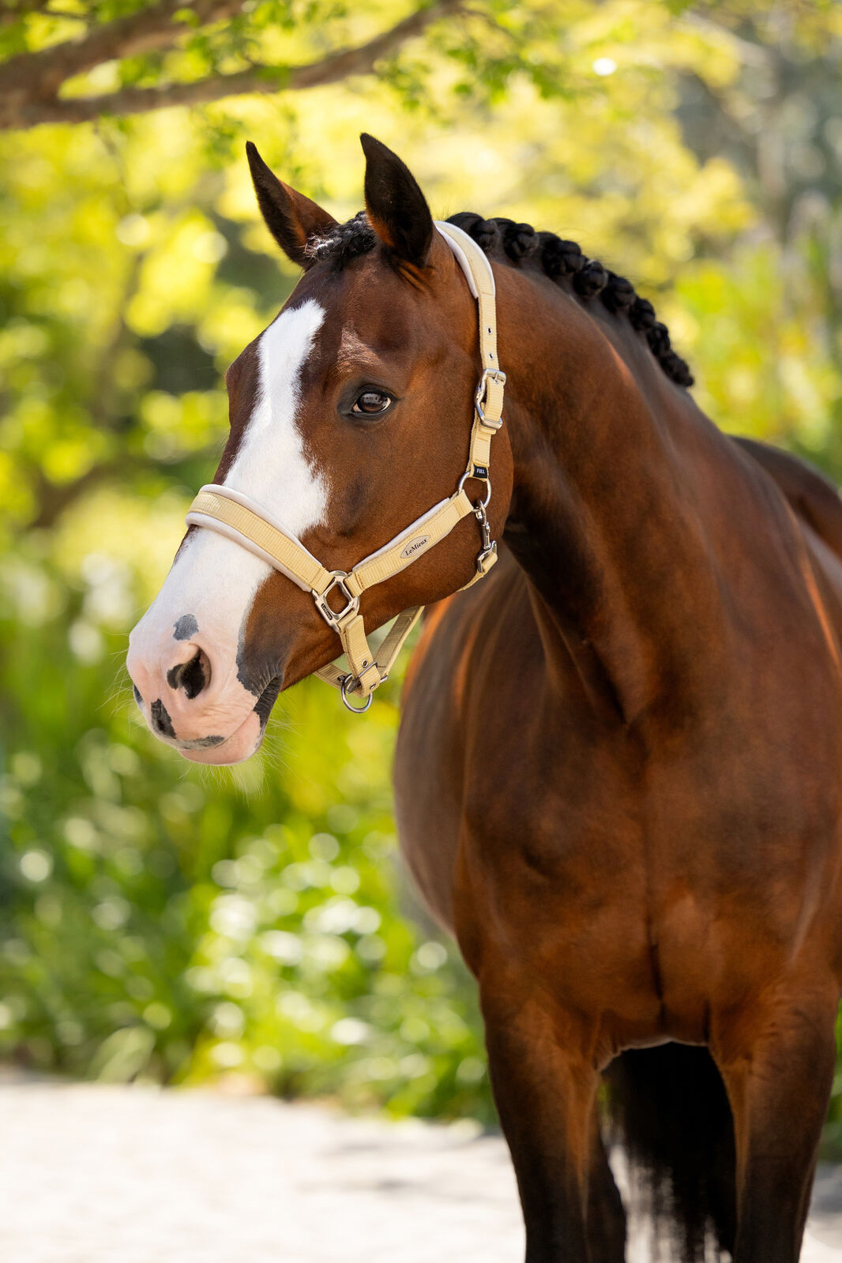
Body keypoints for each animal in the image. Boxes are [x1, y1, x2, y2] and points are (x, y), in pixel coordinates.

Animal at [126, 133, 842, 1257]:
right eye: (240, 384)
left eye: (367, 396)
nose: (170, 666)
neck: (658, 713)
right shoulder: (530, 1039)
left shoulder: (788, 1035)